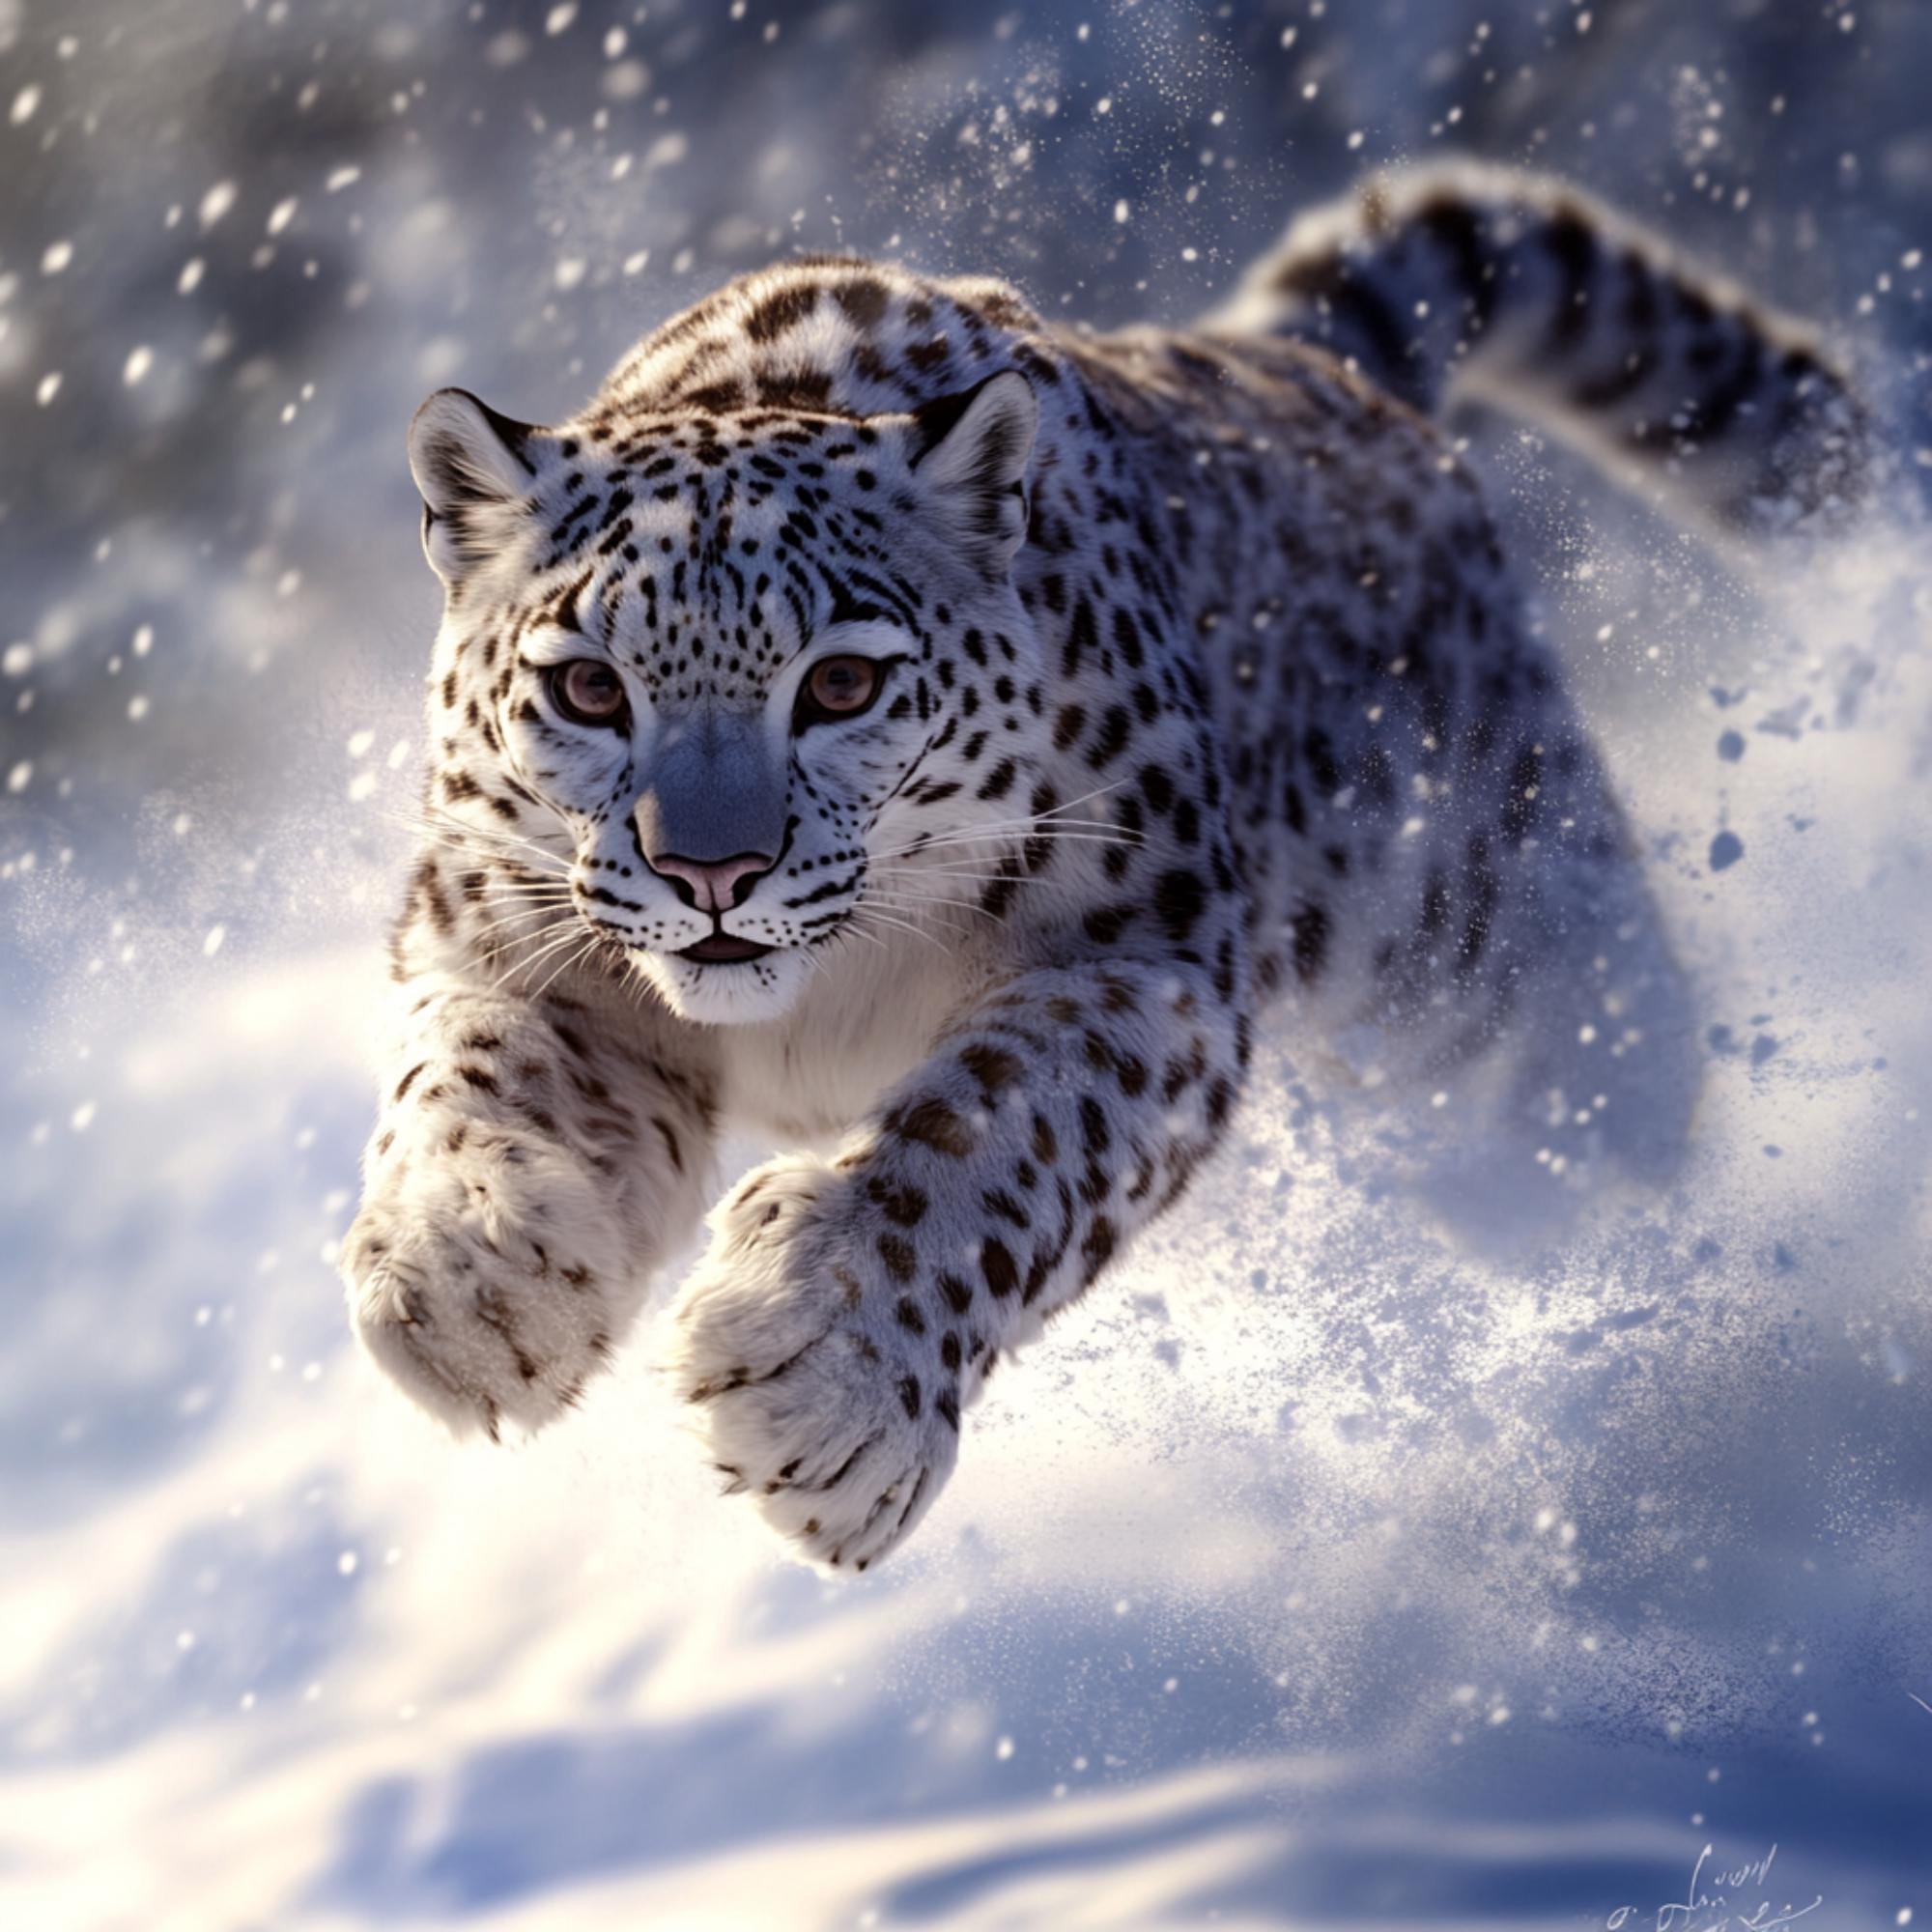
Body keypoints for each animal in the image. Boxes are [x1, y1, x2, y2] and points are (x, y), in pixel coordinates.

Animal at [340, 161, 1874, 1572]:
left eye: (838, 682)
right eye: (590, 687)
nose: (712, 872)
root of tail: (1311, 362)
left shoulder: (1149, 960)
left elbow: (997, 1134)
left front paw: (822, 1378)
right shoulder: (492, 921)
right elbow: (463, 1061)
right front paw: (473, 1273)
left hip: (1486, 950)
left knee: (1603, 1070)